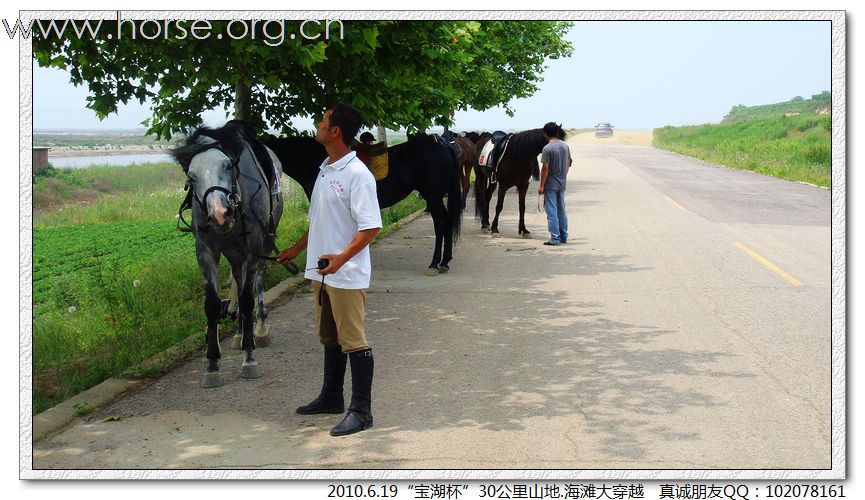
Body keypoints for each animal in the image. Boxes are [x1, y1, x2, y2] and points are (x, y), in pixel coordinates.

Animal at [173, 123, 286, 388]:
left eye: (227, 165)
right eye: (191, 177)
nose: (219, 213)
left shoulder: (252, 248)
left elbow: (247, 300)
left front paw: (250, 359)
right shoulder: (206, 251)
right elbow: (213, 304)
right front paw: (212, 365)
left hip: (264, 243)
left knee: (257, 282)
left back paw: (259, 330)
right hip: (234, 253)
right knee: (237, 279)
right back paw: (238, 334)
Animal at [264, 135, 462, 276]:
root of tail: (442, 145)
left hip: (433, 197)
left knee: (441, 223)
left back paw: (435, 263)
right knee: (447, 221)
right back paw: (445, 261)